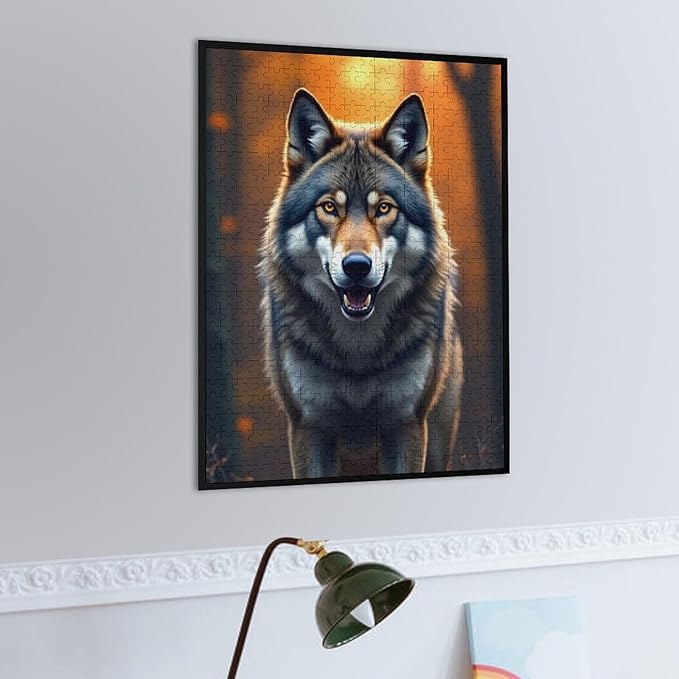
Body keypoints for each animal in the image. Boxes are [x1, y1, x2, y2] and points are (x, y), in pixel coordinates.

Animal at [259, 88, 463, 479]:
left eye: (383, 208)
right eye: (329, 207)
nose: (356, 266)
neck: (358, 352)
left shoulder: (407, 424)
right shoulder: (308, 426)